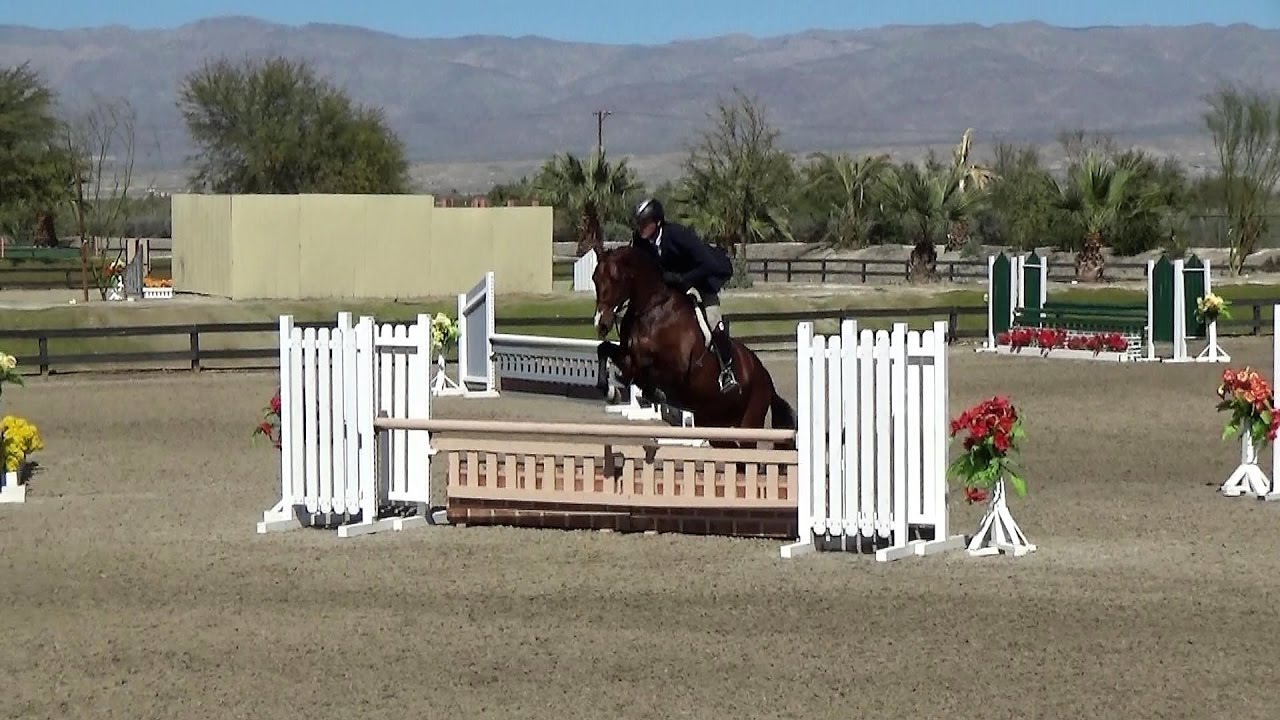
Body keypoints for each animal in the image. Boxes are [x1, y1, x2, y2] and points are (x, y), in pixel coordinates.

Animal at [589, 243, 796, 450]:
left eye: (615, 278)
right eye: (595, 279)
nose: (601, 324)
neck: (652, 309)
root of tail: (765, 376)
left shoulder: (677, 367)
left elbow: (645, 368)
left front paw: (648, 391)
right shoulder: (627, 353)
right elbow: (605, 350)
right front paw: (611, 391)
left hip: (749, 422)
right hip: (715, 425)